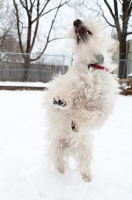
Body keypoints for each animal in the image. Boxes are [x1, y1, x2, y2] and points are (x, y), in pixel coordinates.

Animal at [43, 18, 119, 181]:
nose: (76, 21)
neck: (92, 65)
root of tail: (71, 145)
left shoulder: (102, 107)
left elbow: (90, 114)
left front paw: (77, 123)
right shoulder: (65, 82)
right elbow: (63, 87)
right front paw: (61, 99)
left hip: (85, 149)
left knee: (84, 164)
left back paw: (87, 177)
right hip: (57, 146)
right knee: (59, 162)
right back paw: (60, 174)